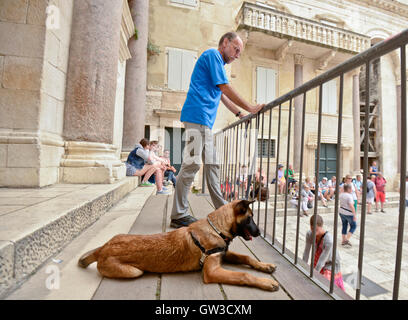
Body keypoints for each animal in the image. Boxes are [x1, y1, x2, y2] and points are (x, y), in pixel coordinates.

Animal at [78, 199, 278, 292]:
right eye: (250, 218)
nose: (259, 233)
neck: (216, 227)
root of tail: (103, 248)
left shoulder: (223, 253)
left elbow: (246, 257)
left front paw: (265, 266)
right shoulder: (212, 271)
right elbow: (243, 274)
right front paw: (266, 282)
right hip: (134, 271)